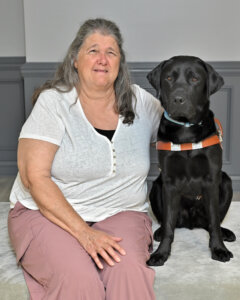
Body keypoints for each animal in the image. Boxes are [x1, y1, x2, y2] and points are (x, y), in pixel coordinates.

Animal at [147, 55, 235, 266]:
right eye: (169, 78)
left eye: (195, 79)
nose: (178, 99)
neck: (185, 129)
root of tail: (191, 222)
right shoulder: (169, 182)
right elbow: (169, 225)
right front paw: (161, 253)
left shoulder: (212, 180)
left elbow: (214, 221)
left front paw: (219, 249)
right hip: (156, 186)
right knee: (168, 222)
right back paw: (159, 232)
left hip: (226, 181)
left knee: (211, 223)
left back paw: (225, 233)